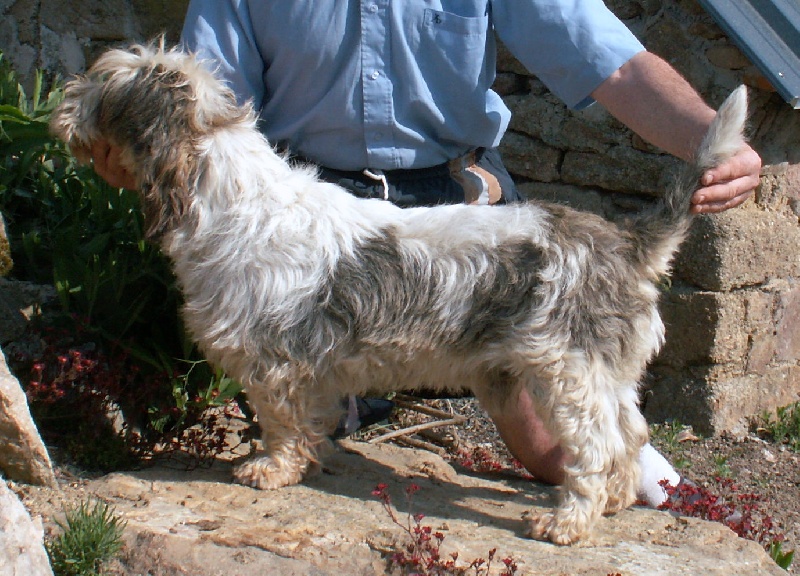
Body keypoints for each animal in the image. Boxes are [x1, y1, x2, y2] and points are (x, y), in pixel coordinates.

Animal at [50, 42, 748, 545]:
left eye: (103, 85)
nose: (60, 103)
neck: (231, 199)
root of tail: (624, 241)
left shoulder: (275, 363)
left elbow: (280, 424)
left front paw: (268, 472)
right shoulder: (306, 371)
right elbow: (308, 422)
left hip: (566, 377)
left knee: (597, 448)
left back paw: (565, 522)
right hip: (606, 375)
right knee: (630, 435)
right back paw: (613, 504)